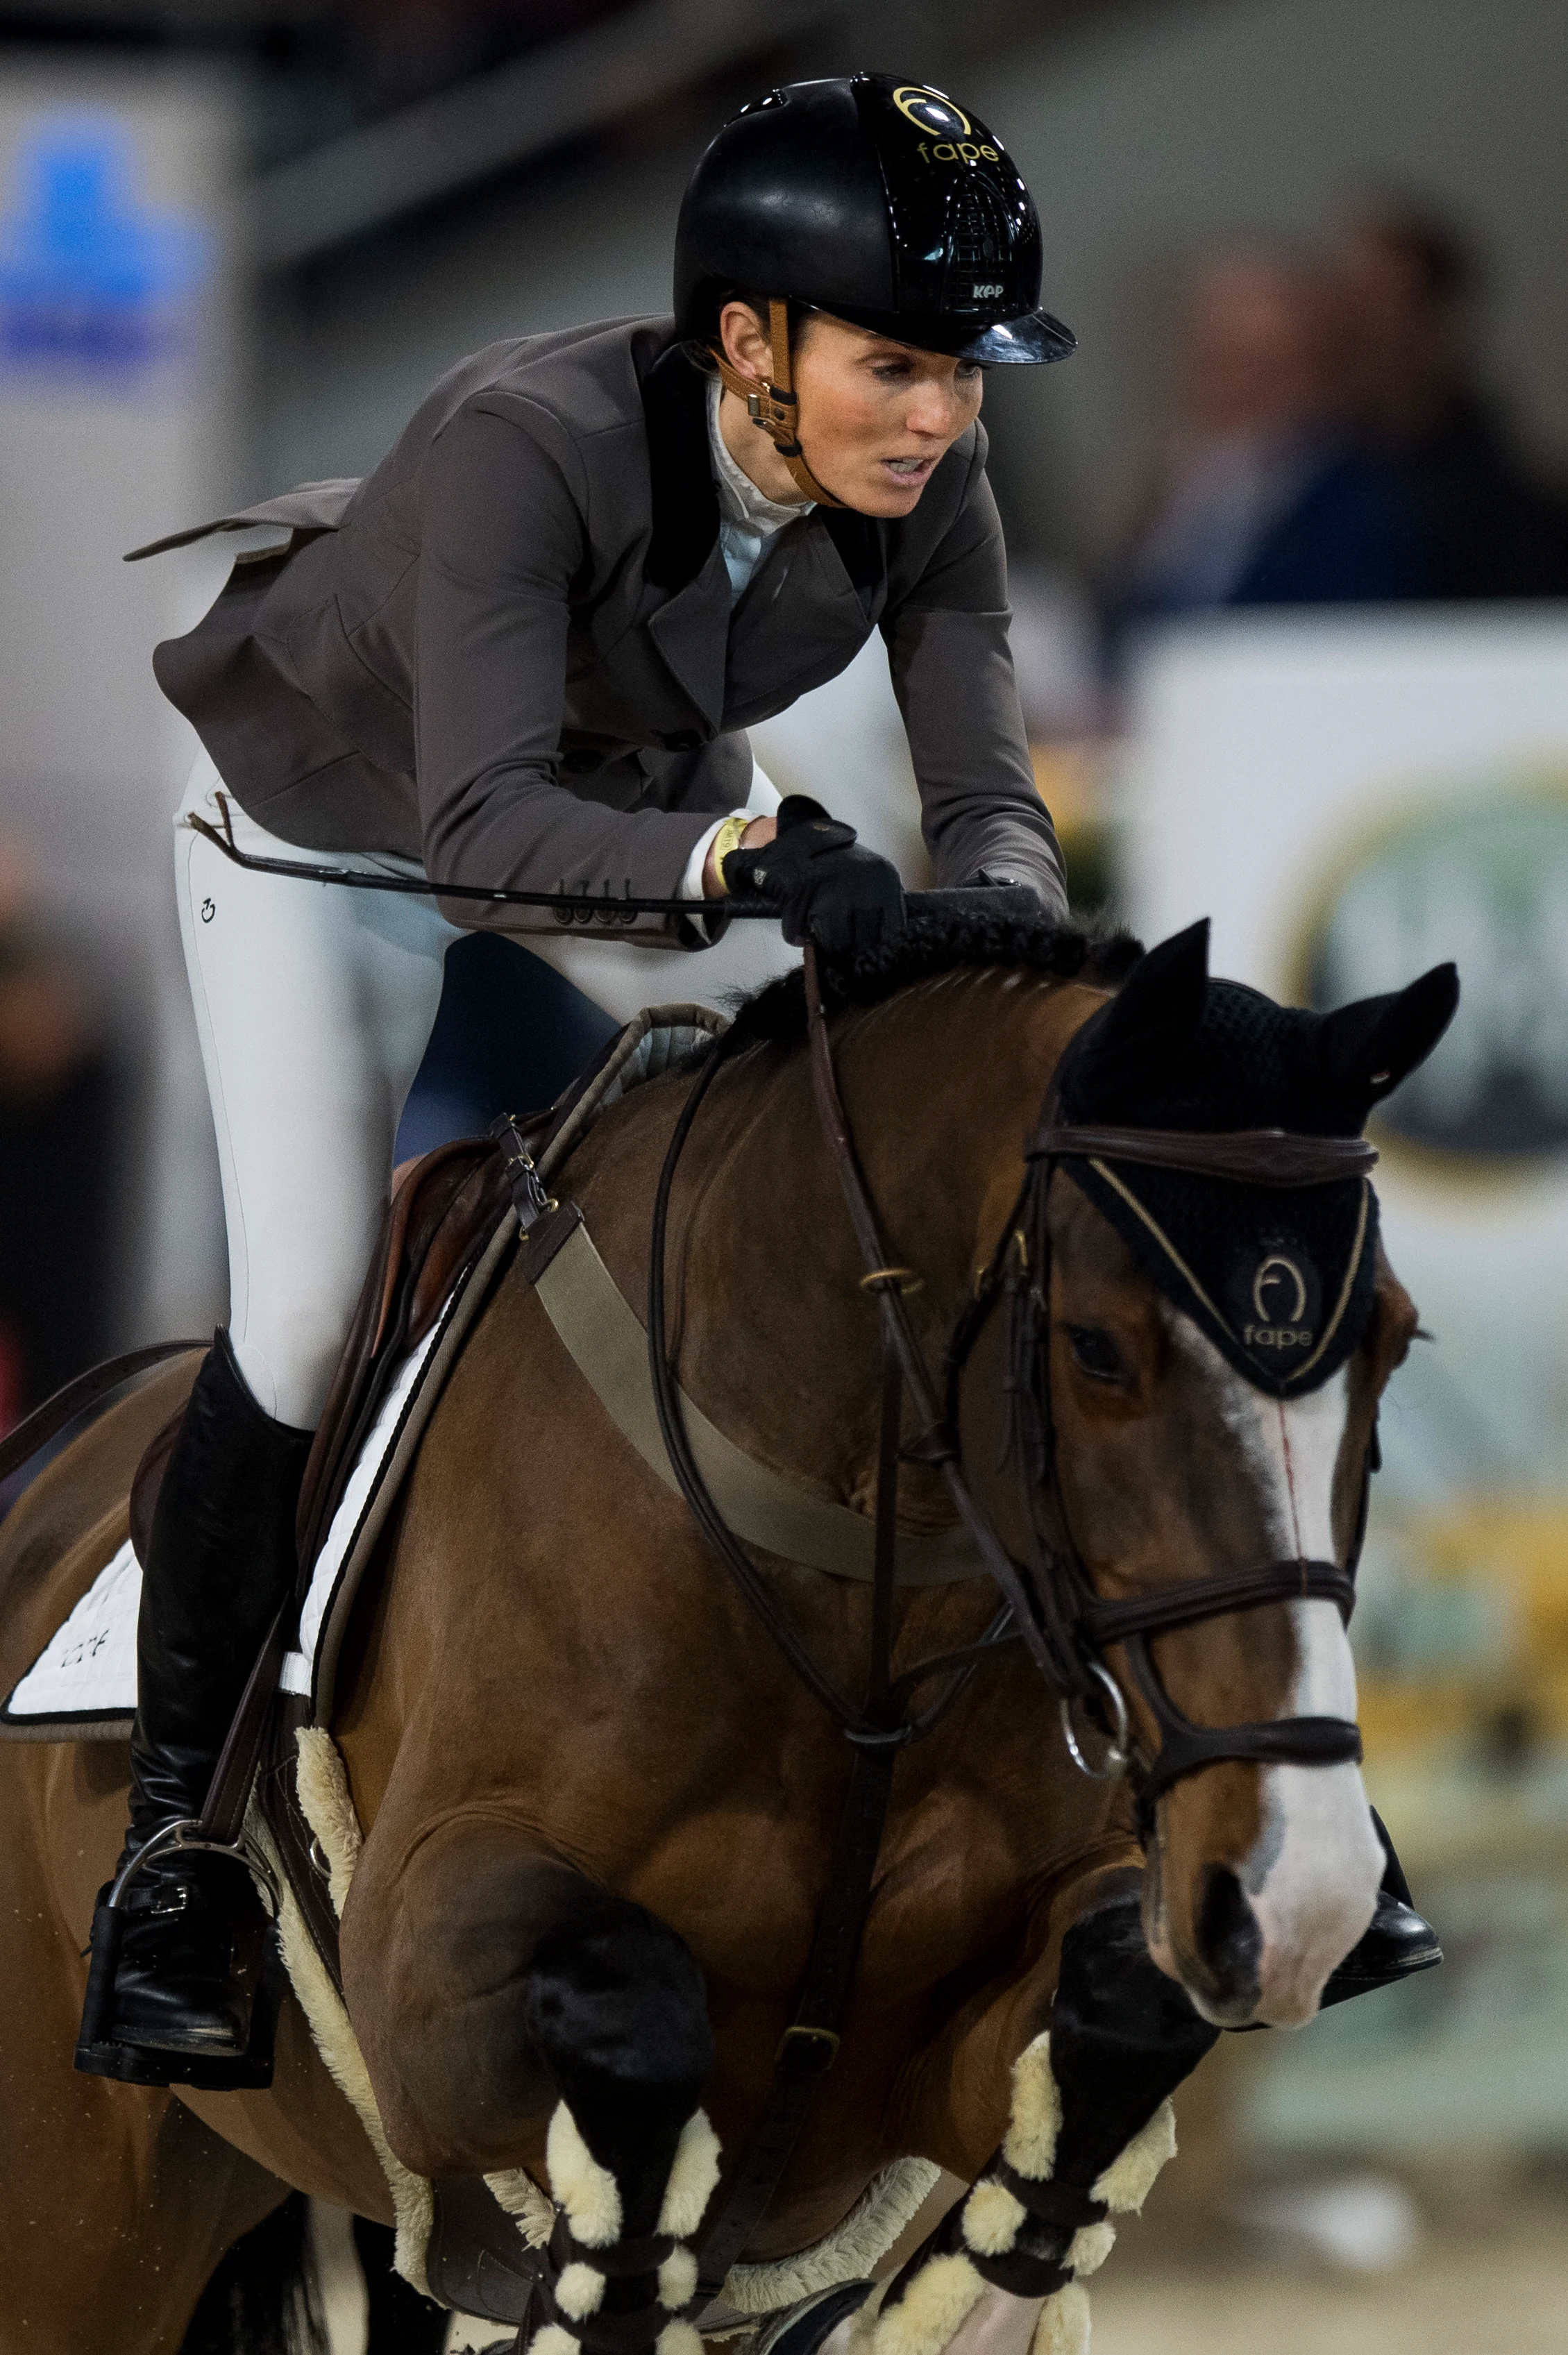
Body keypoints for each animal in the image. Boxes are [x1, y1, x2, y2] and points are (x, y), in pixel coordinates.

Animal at [0, 913, 1450, 2355]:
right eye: (1096, 1348)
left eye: (1390, 1342)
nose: (1302, 1890)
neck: (859, 1599)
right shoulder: (420, 1968)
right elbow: (633, 2012)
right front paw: (611, 2278)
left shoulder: (939, 2054)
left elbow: (1117, 2010)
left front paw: (972, 2276)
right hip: (85, 2231)